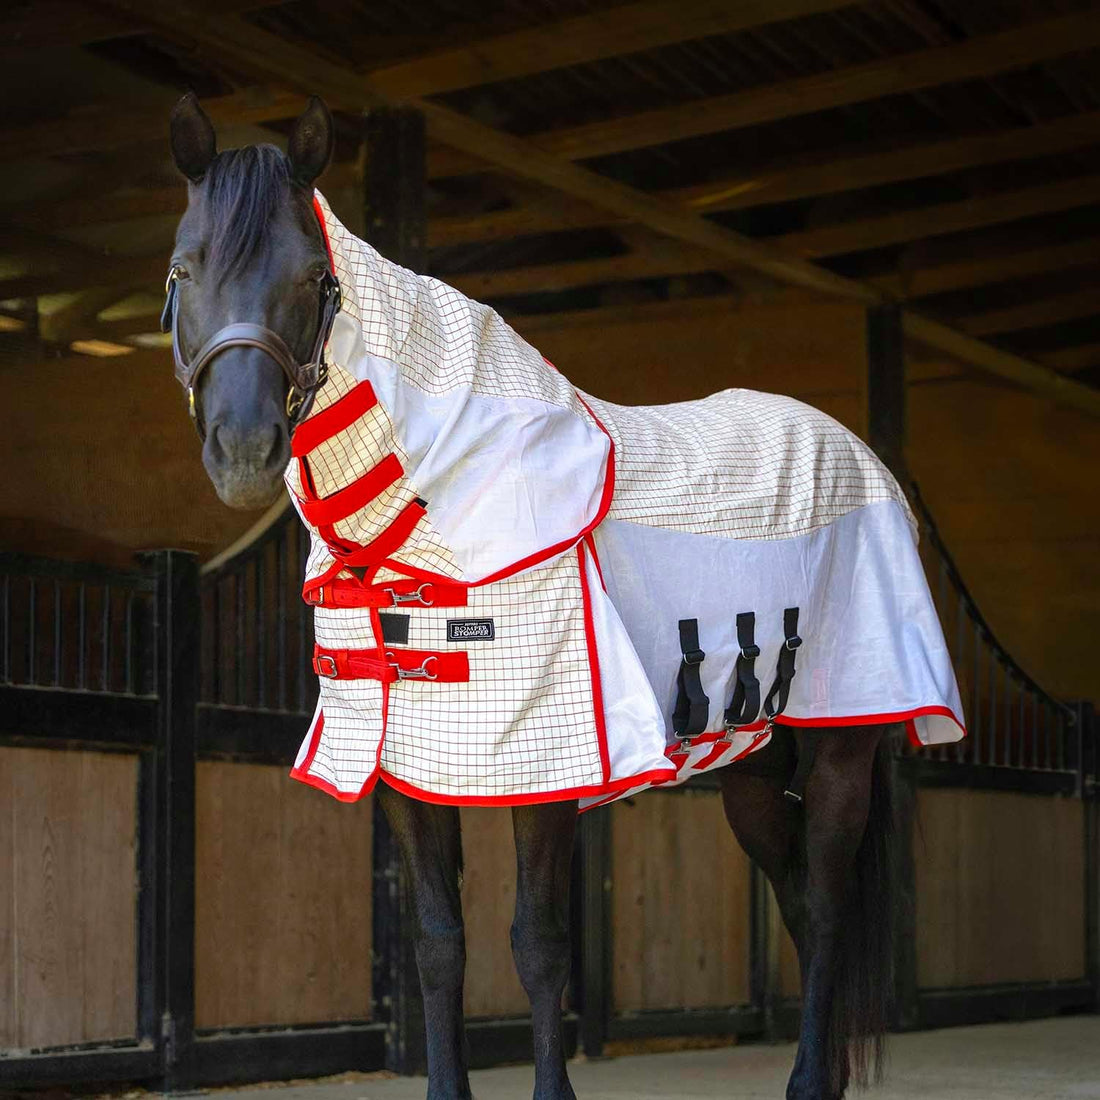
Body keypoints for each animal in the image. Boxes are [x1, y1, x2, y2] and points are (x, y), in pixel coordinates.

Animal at [164, 93, 963, 1100]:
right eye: (183, 268)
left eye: (314, 276)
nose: (242, 451)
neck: (435, 514)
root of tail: (865, 461)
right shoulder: (407, 774)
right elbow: (439, 944)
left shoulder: (546, 767)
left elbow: (538, 946)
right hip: (752, 766)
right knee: (795, 898)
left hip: (843, 749)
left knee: (822, 907)